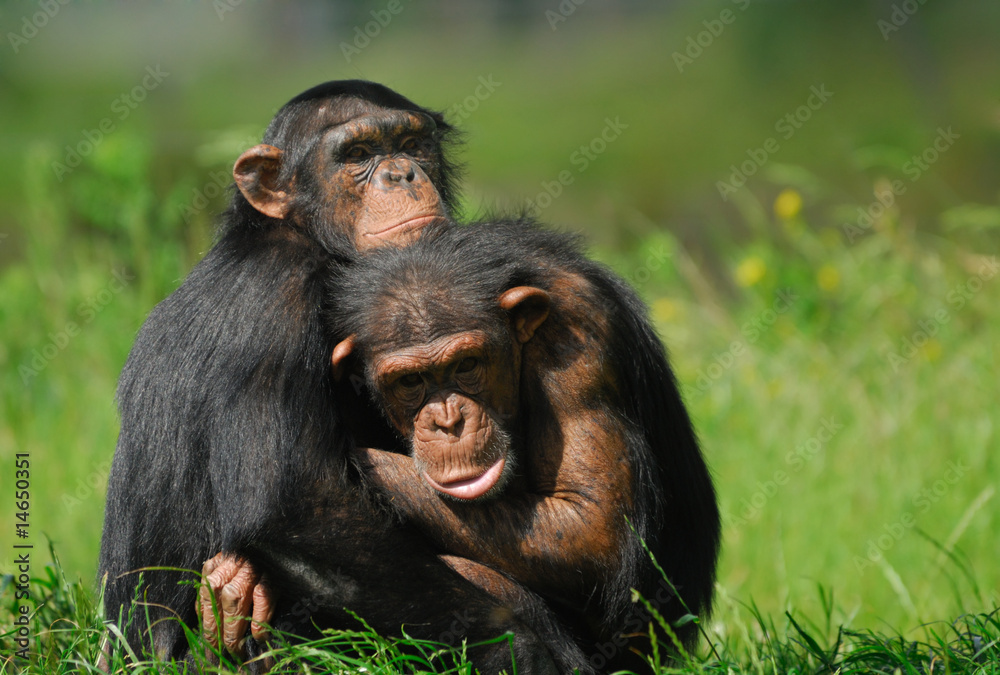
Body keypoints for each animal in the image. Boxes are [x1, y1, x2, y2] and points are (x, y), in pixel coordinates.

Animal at [97, 83, 584, 675]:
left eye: (411, 144)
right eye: (357, 155)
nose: (400, 173)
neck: (298, 235)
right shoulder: (274, 309)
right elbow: (295, 505)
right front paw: (515, 645)